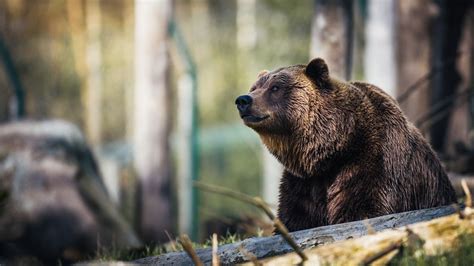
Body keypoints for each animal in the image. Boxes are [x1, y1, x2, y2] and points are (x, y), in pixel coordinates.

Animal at [235, 57, 458, 231]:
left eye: (275, 88)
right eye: (254, 87)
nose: (243, 100)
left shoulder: (372, 162)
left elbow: (361, 209)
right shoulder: (303, 183)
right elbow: (295, 218)